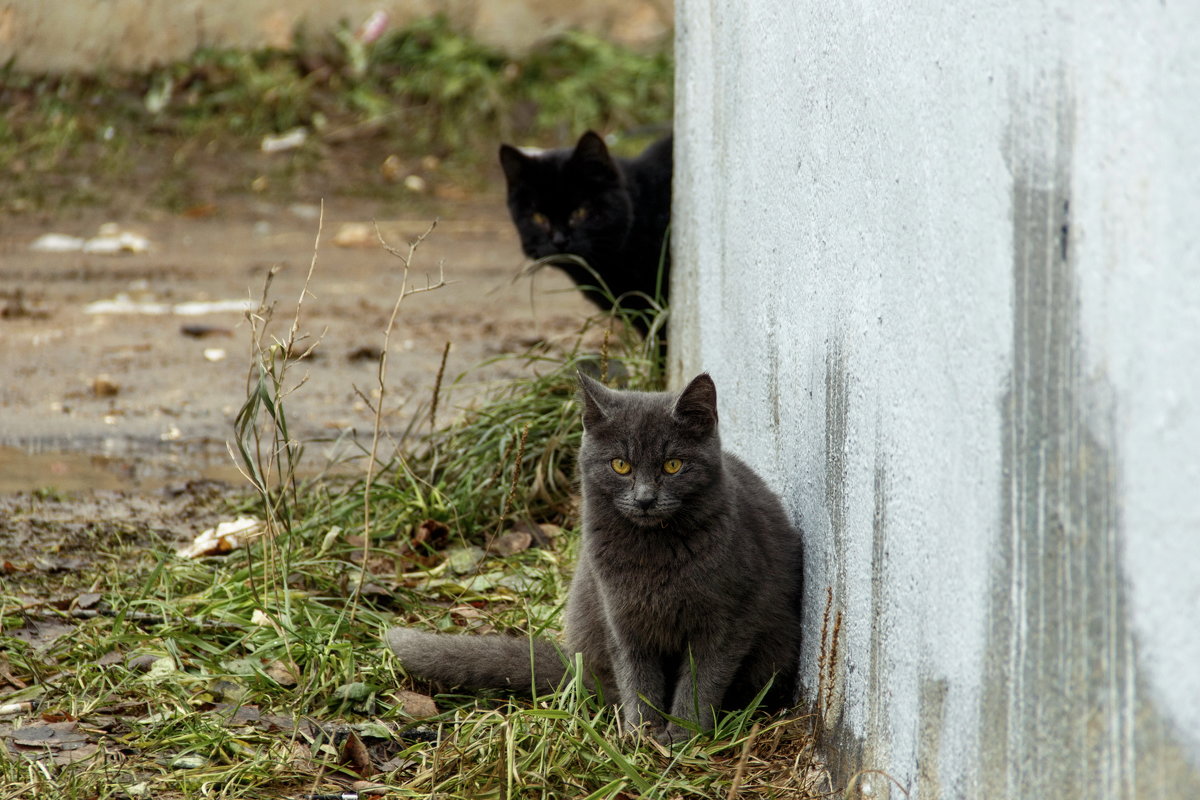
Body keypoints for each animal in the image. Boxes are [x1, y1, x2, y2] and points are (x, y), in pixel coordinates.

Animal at [384, 376, 801, 743]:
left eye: (672, 465)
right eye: (620, 465)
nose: (645, 499)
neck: (653, 554)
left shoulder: (728, 619)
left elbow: (703, 679)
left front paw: (683, 733)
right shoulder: (620, 616)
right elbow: (637, 677)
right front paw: (642, 734)